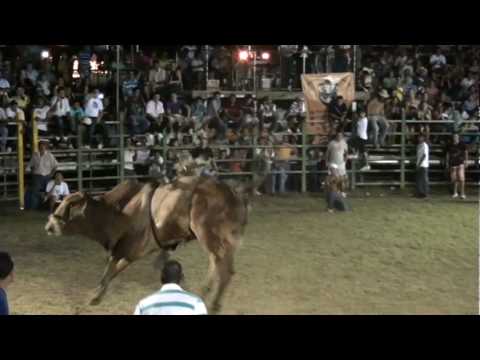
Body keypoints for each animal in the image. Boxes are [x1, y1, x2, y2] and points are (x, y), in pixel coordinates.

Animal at [44, 176, 251, 312]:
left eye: (69, 207)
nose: (49, 226)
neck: (119, 212)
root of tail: (233, 194)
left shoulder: (131, 249)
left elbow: (111, 268)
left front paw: (94, 296)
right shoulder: (135, 250)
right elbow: (114, 269)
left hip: (206, 233)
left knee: (221, 265)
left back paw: (212, 302)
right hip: (225, 239)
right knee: (222, 265)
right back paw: (207, 296)